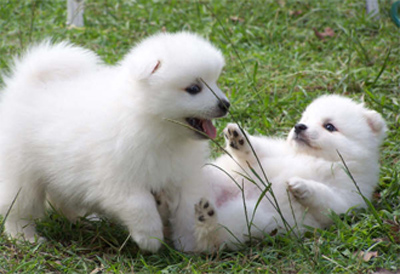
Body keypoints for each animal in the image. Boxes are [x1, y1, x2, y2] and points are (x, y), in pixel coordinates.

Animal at [0, 31, 230, 252]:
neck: (158, 129)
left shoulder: (182, 176)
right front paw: (150, 237)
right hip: (22, 173)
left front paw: (189, 242)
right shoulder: (119, 179)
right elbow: (140, 204)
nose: (225, 104)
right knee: (18, 208)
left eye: (215, 82)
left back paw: (84, 220)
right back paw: (24, 237)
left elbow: (186, 209)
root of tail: (28, 87)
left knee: (62, 199)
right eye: (193, 89)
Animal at [192, 95, 386, 252]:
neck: (314, 158)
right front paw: (238, 138)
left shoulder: (349, 197)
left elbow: (327, 199)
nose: (299, 126)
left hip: (244, 218)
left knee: (213, 235)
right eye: (306, 118)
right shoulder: (271, 155)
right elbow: (255, 152)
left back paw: (205, 218)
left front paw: (302, 186)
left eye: (329, 126)